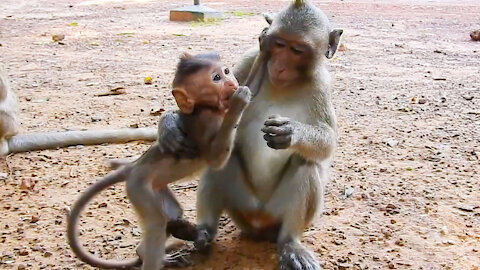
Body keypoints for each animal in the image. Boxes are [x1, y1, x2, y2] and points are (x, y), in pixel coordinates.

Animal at [67, 51, 251, 268]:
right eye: (216, 78)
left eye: (226, 71)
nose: (231, 82)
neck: (207, 107)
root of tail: (133, 167)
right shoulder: (207, 121)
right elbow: (215, 160)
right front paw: (238, 103)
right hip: (139, 189)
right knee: (156, 222)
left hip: (156, 190)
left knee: (173, 215)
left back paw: (149, 251)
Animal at [156, 1, 344, 268]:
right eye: (279, 45)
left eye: (297, 50)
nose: (279, 66)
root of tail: (258, 221)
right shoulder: (249, 60)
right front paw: (170, 125)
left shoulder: (322, 84)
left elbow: (327, 143)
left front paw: (291, 131)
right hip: (240, 206)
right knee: (221, 159)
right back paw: (203, 233)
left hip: (276, 214)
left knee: (305, 163)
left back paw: (290, 244)